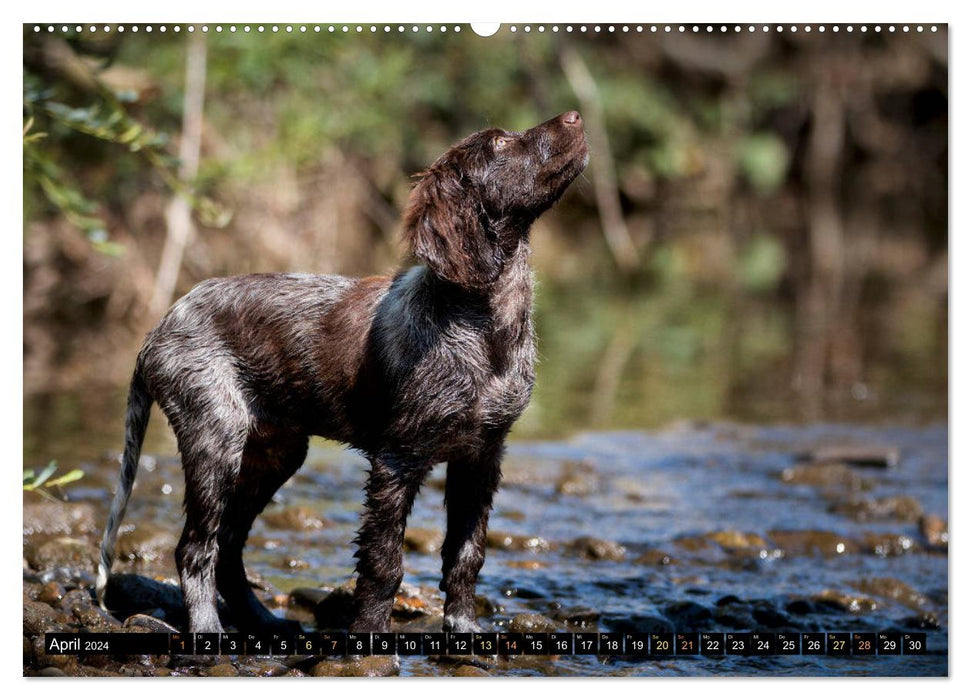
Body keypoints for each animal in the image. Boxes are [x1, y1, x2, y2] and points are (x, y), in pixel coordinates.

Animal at [95, 110, 588, 636]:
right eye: (499, 144)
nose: (576, 115)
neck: (484, 325)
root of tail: (158, 328)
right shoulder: (398, 459)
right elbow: (384, 564)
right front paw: (370, 635)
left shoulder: (482, 454)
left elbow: (467, 555)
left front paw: (463, 628)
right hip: (215, 440)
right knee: (196, 548)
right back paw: (209, 630)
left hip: (275, 452)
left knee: (227, 547)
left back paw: (266, 622)